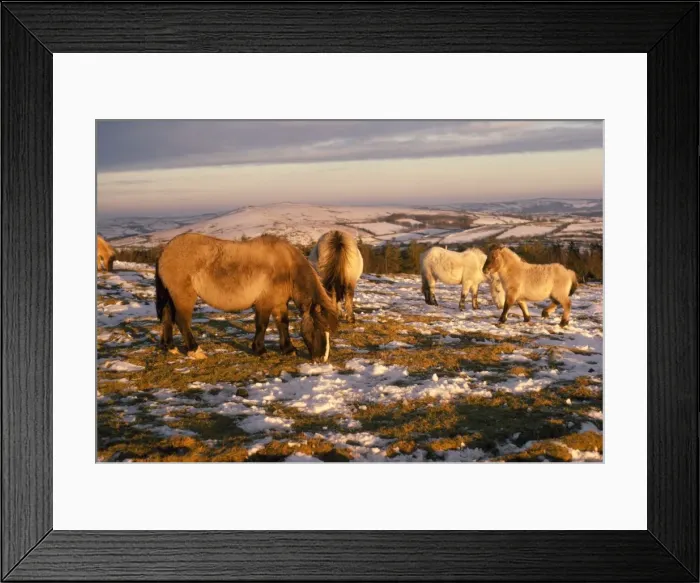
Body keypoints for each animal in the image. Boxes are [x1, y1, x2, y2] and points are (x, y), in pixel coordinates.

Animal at [155, 233, 338, 361]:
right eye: (320, 328)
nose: (321, 359)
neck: (287, 268)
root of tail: (165, 252)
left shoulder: (279, 303)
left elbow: (283, 324)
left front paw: (288, 349)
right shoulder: (264, 304)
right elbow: (262, 325)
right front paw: (260, 350)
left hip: (171, 297)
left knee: (167, 317)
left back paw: (169, 346)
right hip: (184, 297)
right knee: (181, 320)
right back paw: (195, 350)